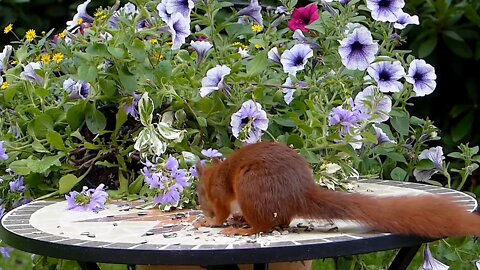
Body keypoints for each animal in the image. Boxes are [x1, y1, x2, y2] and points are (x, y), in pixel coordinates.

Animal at [195, 141, 480, 236]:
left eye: (199, 195)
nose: (202, 209)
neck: (215, 175)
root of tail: (301, 194)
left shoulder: (220, 195)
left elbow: (222, 212)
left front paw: (210, 222)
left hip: (251, 187)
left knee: (264, 225)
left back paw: (244, 229)